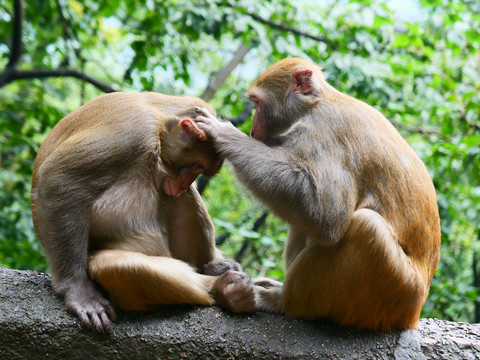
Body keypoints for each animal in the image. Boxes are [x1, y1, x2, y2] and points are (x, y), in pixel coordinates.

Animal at [31, 92, 255, 332]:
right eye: (197, 166)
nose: (184, 184)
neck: (160, 122)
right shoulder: (132, 134)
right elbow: (60, 179)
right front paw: (77, 289)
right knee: (111, 264)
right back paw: (221, 288)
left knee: (179, 198)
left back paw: (212, 271)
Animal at [193, 57, 440, 332]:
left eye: (257, 103)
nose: (253, 130)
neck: (315, 104)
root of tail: (413, 314)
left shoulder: (324, 133)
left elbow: (327, 214)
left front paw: (225, 134)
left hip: (394, 292)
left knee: (366, 227)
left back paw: (280, 301)